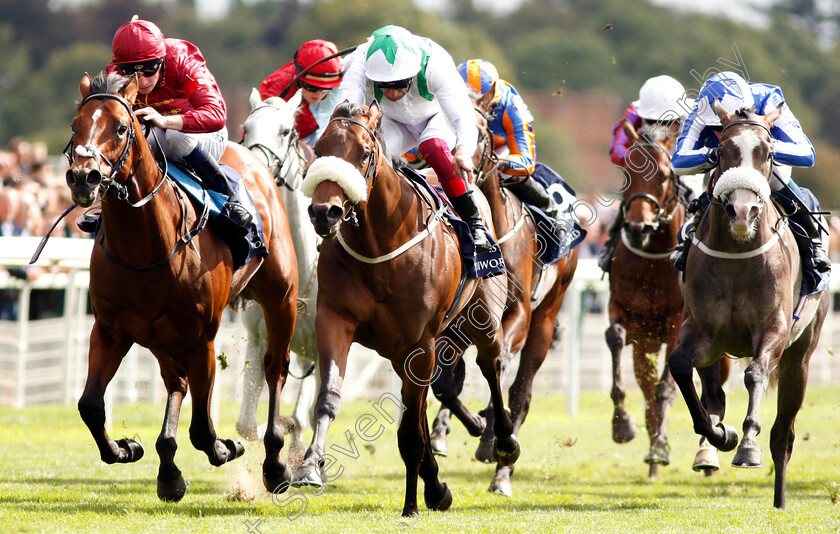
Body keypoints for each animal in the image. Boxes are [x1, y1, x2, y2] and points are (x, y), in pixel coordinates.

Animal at [66, 73, 302, 504]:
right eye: (76, 126)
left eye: (121, 127)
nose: (82, 176)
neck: (147, 247)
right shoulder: (110, 330)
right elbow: (90, 405)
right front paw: (127, 448)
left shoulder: (201, 338)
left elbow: (204, 430)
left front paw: (229, 447)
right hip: (160, 335)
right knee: (175, 382)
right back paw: (167, 467)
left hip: (281, 298)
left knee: (275, 368)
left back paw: (275, 465)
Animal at [296, 101, 520, 520]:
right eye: (319, 151)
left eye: (364, 153)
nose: (324, 213)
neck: (380, 245)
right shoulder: (335, 320)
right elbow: (330, 396)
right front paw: (309, 465)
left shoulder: (420, 342)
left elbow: (411, 433)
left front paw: (411, 505)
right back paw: (436, 483)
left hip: (480, 319)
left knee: (492, 366)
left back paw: (502, 442)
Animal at [426, 105, 576, 498]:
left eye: (478, 132)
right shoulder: (454, 322)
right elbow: (444, 382)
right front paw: (467, 427)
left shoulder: (518, 314)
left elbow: (500, 367)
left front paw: (491, 433)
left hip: (546, 317)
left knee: (521, 393)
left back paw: (501, 472)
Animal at [668, 101, 832, 510]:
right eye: (721, 152)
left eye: (769, 153)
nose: (742, 213)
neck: (738, 255)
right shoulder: (703, 332)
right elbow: (680, 366)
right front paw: (720, 435)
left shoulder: (773, 329)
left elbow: (756, 374)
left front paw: (747, 446)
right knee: (713, 393)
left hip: (800, 359)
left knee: (784, 435)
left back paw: (780, 499)